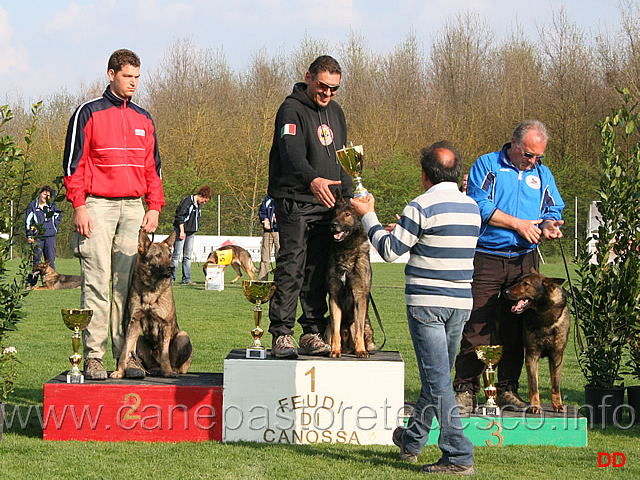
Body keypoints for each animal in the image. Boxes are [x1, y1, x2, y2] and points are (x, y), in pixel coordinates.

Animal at [110, 230, 192, 378]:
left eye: (169, 256)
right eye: (158, 255)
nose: (172, 267)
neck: (151, 288)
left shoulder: (165, 324)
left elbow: (165, 354)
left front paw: (168, 371)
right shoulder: (134, 323)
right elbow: (125, 350)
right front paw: (120, 371)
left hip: (183, 336)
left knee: (174, 362)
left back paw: (172, 370)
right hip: (141, 340)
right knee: (151, 362)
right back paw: (154, 369)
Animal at [328, 193, 378, 358]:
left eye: (347, 214)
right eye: (335, 213)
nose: (333, 224)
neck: (346, 250)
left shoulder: (359, 297)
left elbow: (359, 331)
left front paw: (361, 350)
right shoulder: (334, 297)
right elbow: (336, 330)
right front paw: (335, 350)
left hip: (364, 325)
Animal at [504, 270, 568, 412]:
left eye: (525, 284)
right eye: (517, 281)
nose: (505, 291)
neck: (544, 319)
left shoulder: (557, 356)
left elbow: (556, 385)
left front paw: (557, 405)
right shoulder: (532, 356)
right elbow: (533, 385)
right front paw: (534, 406)